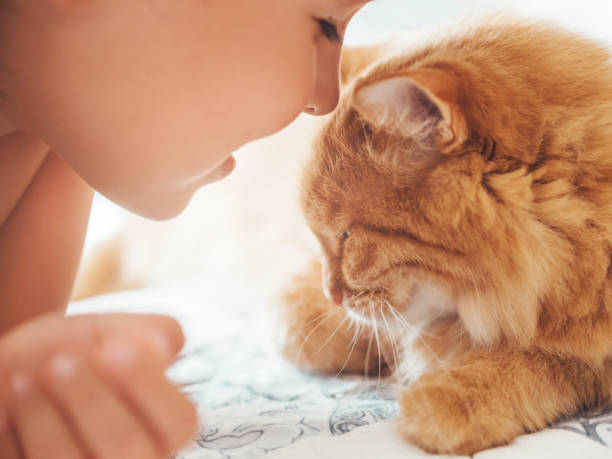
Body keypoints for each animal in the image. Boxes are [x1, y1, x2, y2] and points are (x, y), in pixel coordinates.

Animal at [280, 18, 612, 456]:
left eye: (347, 235)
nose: (332, 293)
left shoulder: (591, 352)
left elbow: (548, 360)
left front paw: (449, 399)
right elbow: (304, 329)